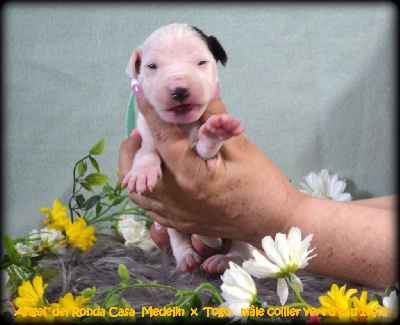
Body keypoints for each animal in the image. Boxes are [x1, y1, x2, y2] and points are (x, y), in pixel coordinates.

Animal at [123, 22, 252, 272]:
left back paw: (224, 260)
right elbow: (147, 151)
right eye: (152, 66)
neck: (182, 125)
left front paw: (214, 132)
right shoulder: (147, 132)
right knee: (179, 236)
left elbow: (205, 148)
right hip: (172, 220)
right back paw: (187, 257)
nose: (179, 90)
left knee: (240, 250)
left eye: (201, 62)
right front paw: (142, 171)